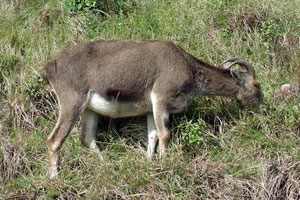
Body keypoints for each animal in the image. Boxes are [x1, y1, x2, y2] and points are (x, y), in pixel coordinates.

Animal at [42, 39, 262, 179]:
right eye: (256, 84)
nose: (260, 104)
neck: (188, 67)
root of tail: (49, 67)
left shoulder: (150, 109)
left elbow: (152, 135)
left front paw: (149, 161)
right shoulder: (161, 98)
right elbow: (165, 134)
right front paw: (166, 163)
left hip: (89, 109)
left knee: (86, 137)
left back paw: (107, 164)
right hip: (72, 101)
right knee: (54, 140)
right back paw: (55, 178)